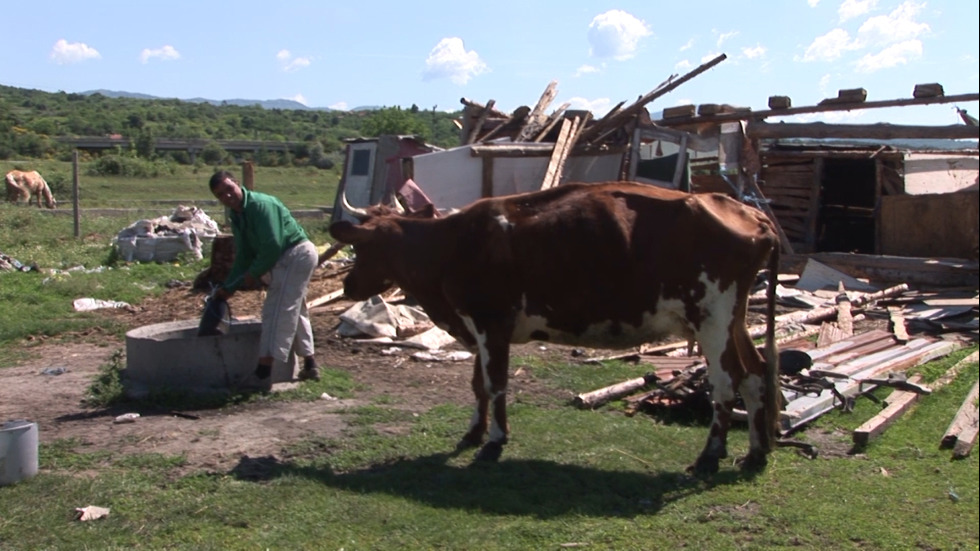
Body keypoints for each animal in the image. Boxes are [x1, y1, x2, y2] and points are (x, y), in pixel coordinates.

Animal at [334, 181, 784, 474]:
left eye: (362, 245)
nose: (348, 285)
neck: (451, 246)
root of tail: (750, 212)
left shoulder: (492, 323)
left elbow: (495, 384)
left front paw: (494, 442)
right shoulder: (475, 327)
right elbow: (478, 385)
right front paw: (473, 434)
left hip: (713, 318)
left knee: (727, 382)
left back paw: (710, 456)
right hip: (734, 319)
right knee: (756, 375)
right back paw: (755, 453)